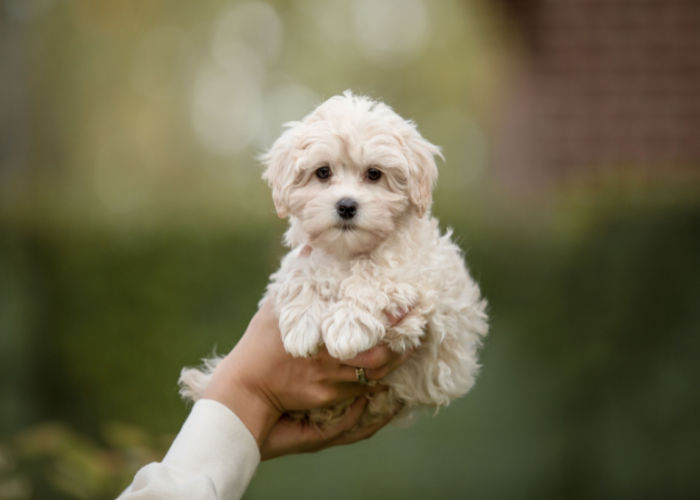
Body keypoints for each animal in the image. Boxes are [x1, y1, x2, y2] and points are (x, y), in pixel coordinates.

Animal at [180, 91, 486, 426]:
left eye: (374, 174)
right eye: (323, 172)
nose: (346, 206)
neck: (347, 252)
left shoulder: (420, 280)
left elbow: (374, 278)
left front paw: (346, 327)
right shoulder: (302, 258)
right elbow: (298, 275)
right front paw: (301, 325)